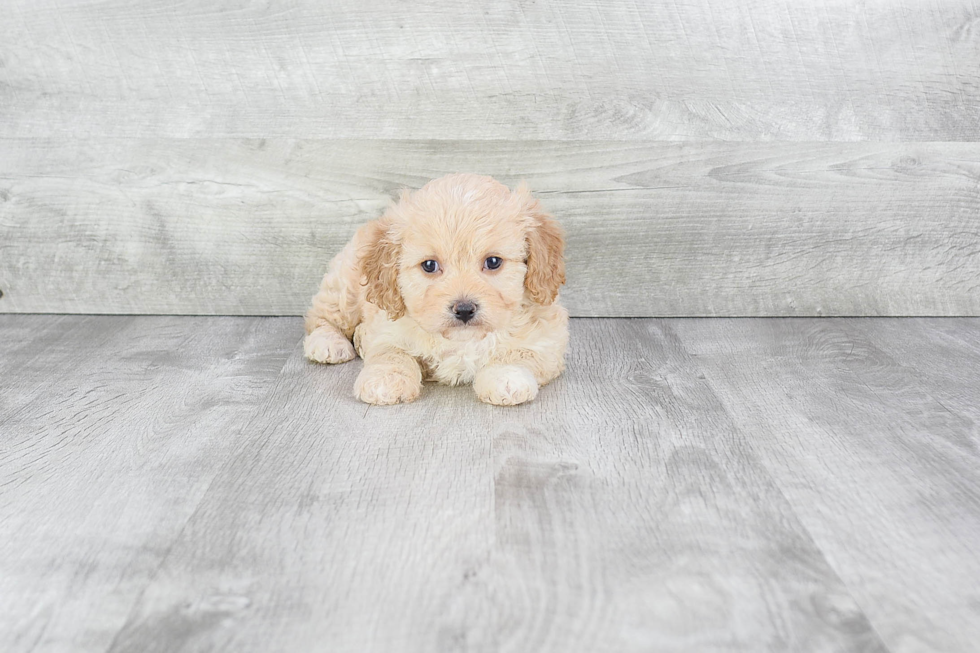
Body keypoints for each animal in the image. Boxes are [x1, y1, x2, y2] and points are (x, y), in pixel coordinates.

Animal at [304, 172, 568, 402]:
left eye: (493, 262)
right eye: (429, 265)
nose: (464, 309)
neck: (461, 341)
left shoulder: (546, 339)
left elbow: (518, 353)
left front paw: (506, 377)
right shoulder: (387, 328)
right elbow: (391, 352)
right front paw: (386, 379)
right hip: (345, 286)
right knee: (321, 316)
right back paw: (328, 343)